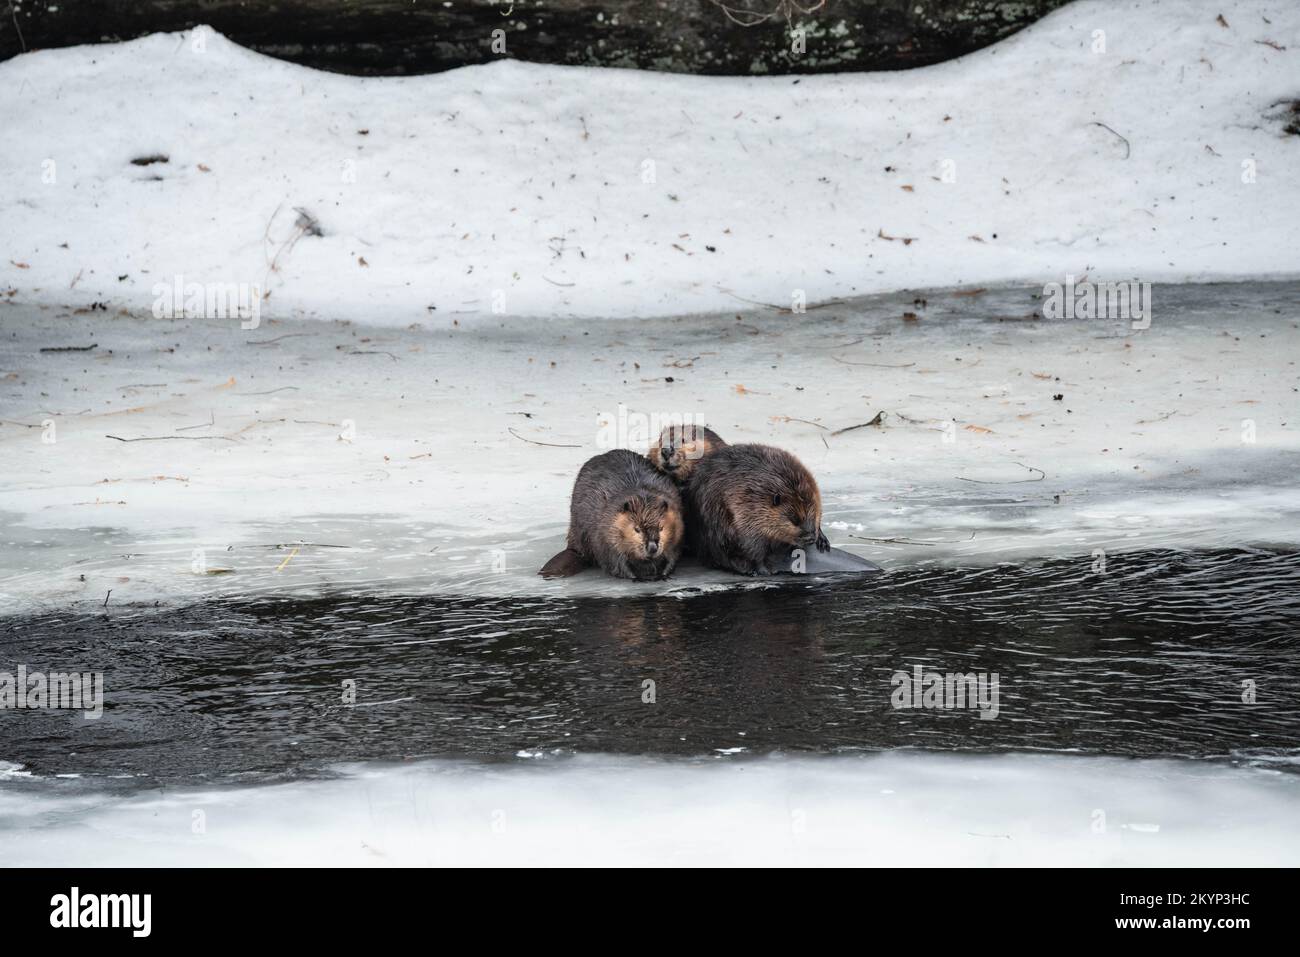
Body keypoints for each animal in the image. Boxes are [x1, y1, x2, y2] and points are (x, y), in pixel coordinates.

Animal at [538, 449, 686, 579]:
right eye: (637, 529)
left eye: (661, 528)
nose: (652, 548)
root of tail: (574, 549)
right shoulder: (605, 532)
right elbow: (614, 561)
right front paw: (636, 577)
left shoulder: (677, 523)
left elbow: (673, 554)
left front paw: (664, 573)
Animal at [686, 442, 826, 574]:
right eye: (794, 520)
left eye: (813, 516)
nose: (810, 538)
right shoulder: (745, 510)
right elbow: (753, 546)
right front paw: (763, 570)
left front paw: (822, 540)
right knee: (722, 553)